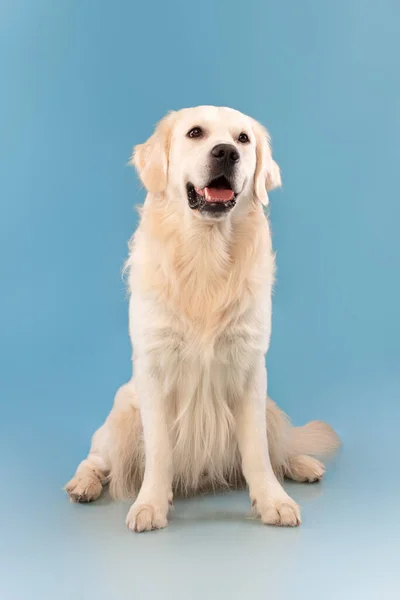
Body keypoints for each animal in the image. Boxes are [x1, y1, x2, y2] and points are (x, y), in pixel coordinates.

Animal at [65, 105, 340, 532]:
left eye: (243, 138)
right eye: (195, 133)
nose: (227, 152)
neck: (205, 255)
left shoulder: (250, 369)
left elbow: (257, 451)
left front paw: (273, 501)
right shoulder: (154, 370)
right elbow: (160, 450)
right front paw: (150, 505)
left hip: (269, 406)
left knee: (278, 446)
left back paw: (301, 463)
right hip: (121, 415)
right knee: (94, 459)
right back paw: (83, 484)